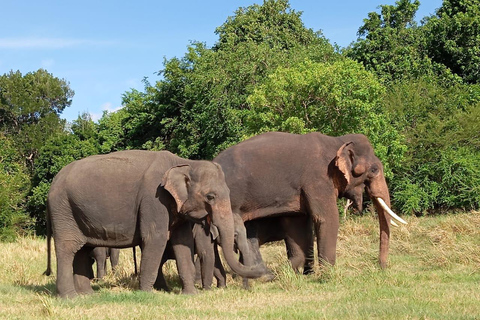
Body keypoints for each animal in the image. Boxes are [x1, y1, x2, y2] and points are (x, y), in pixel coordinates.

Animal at [44, 150, 262, 298]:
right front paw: (146, 295)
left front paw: (191, 294)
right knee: (68, 248)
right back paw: (70, 298)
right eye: (210, 196)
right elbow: (155, 238)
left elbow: (183, 243)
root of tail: (53, 182)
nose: (261, 271)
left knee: (82, 249)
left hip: (77, 212)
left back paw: (87, 296)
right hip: (63, 210)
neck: (184, 163)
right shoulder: (154, 199)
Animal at [214, 131, 404, 274]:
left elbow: (297, 224)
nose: (381, 267)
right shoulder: (318, 179)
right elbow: (327, 218)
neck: (336, 141)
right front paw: (327, 276)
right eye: (374, 169)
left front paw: (298, 272)